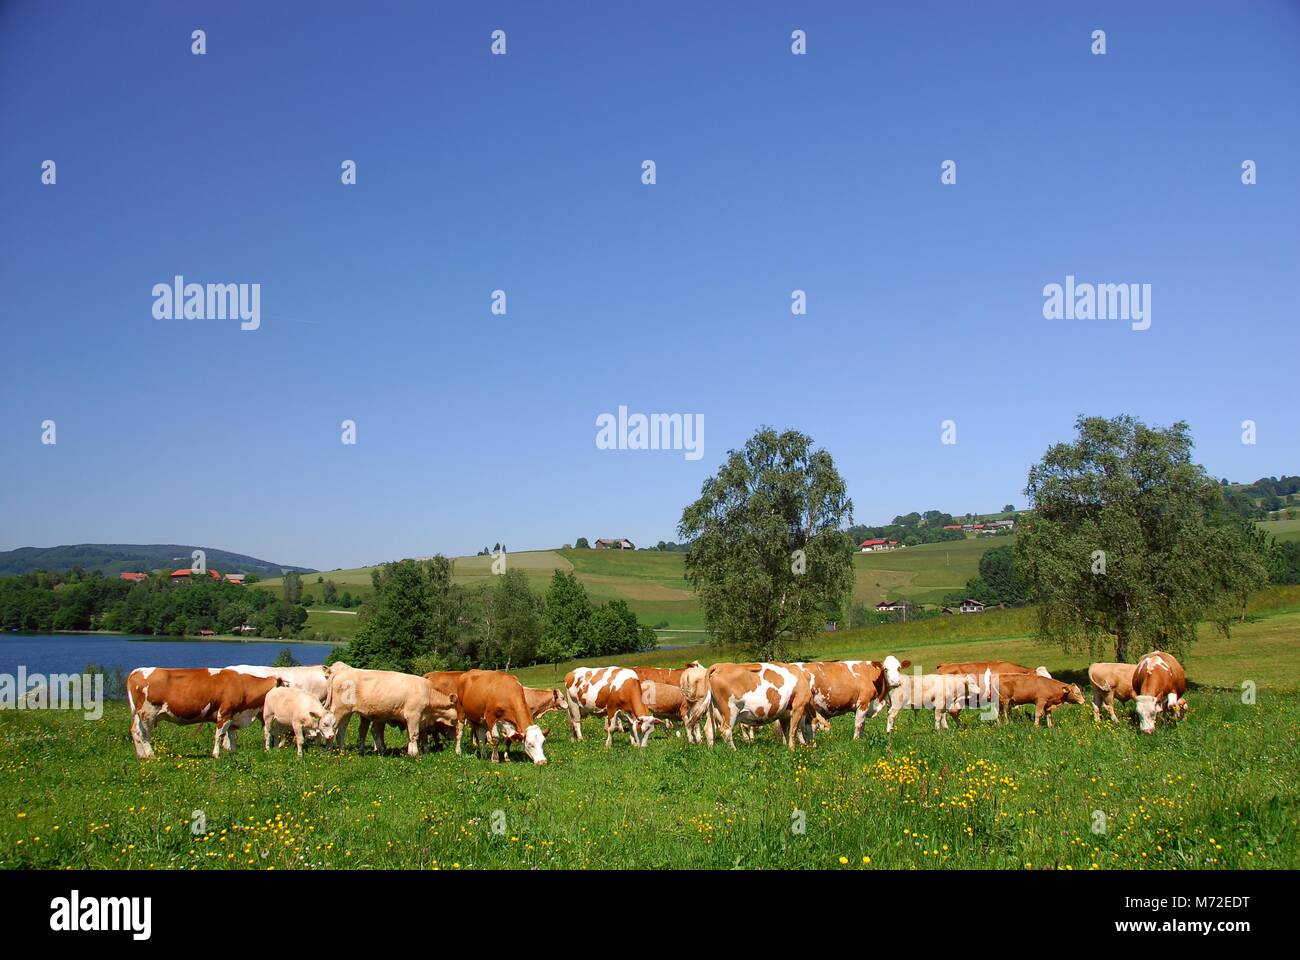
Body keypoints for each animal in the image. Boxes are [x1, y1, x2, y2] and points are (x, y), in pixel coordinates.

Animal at [126, 666, 282, 754]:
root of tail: (137, 671)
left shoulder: (234, 715)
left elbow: (231, 736)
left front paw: (232, 753)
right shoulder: (224, 713)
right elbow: (219, 735)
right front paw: (216, 754)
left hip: (139, 715)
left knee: (135, 730)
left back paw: (141, 756)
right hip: (148, 714)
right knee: (143, 734)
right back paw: (150, 755)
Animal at [327, 660, 460, 749]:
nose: (454, 737)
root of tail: (340, 673)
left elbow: (412, 736)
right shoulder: (413, 716)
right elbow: (414, 735)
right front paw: (415, 755)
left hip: (347, 712)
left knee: (341, 730)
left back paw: (342, 750)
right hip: (338, 710)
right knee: (333, 729)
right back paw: (329, 750)